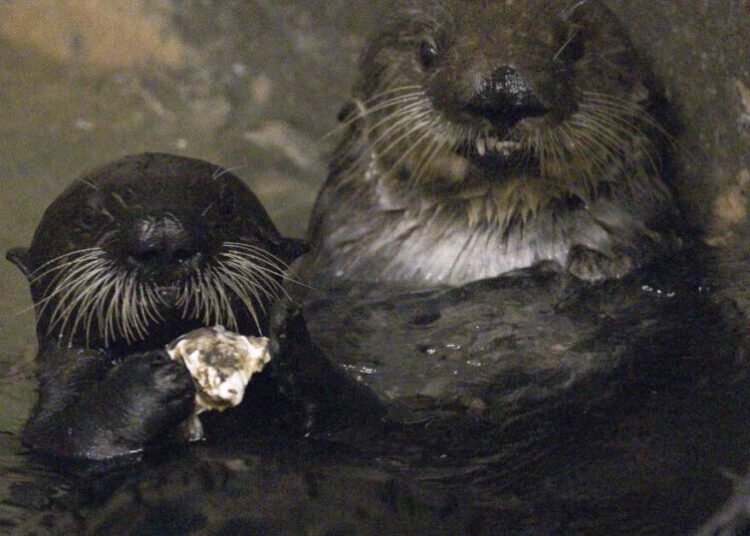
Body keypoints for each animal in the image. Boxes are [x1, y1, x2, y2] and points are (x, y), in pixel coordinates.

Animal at [7, 153, 307, 460]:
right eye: (89, 217)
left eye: (227, 208)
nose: (165, 235)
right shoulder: (49, 430)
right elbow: (68, 434)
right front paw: (152, 378)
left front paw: (287, 329)